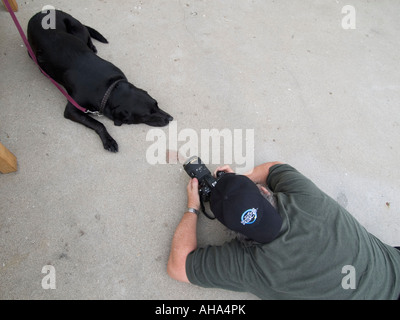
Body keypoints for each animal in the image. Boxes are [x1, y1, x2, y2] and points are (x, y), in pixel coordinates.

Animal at [26, 10, 173, 152]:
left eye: (156, 104)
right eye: (147, 115)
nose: (170, 118)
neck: (109, 89)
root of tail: (41, 13)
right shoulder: (72, 109)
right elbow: (98, 123)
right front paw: (109, 140)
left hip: (78, 30)